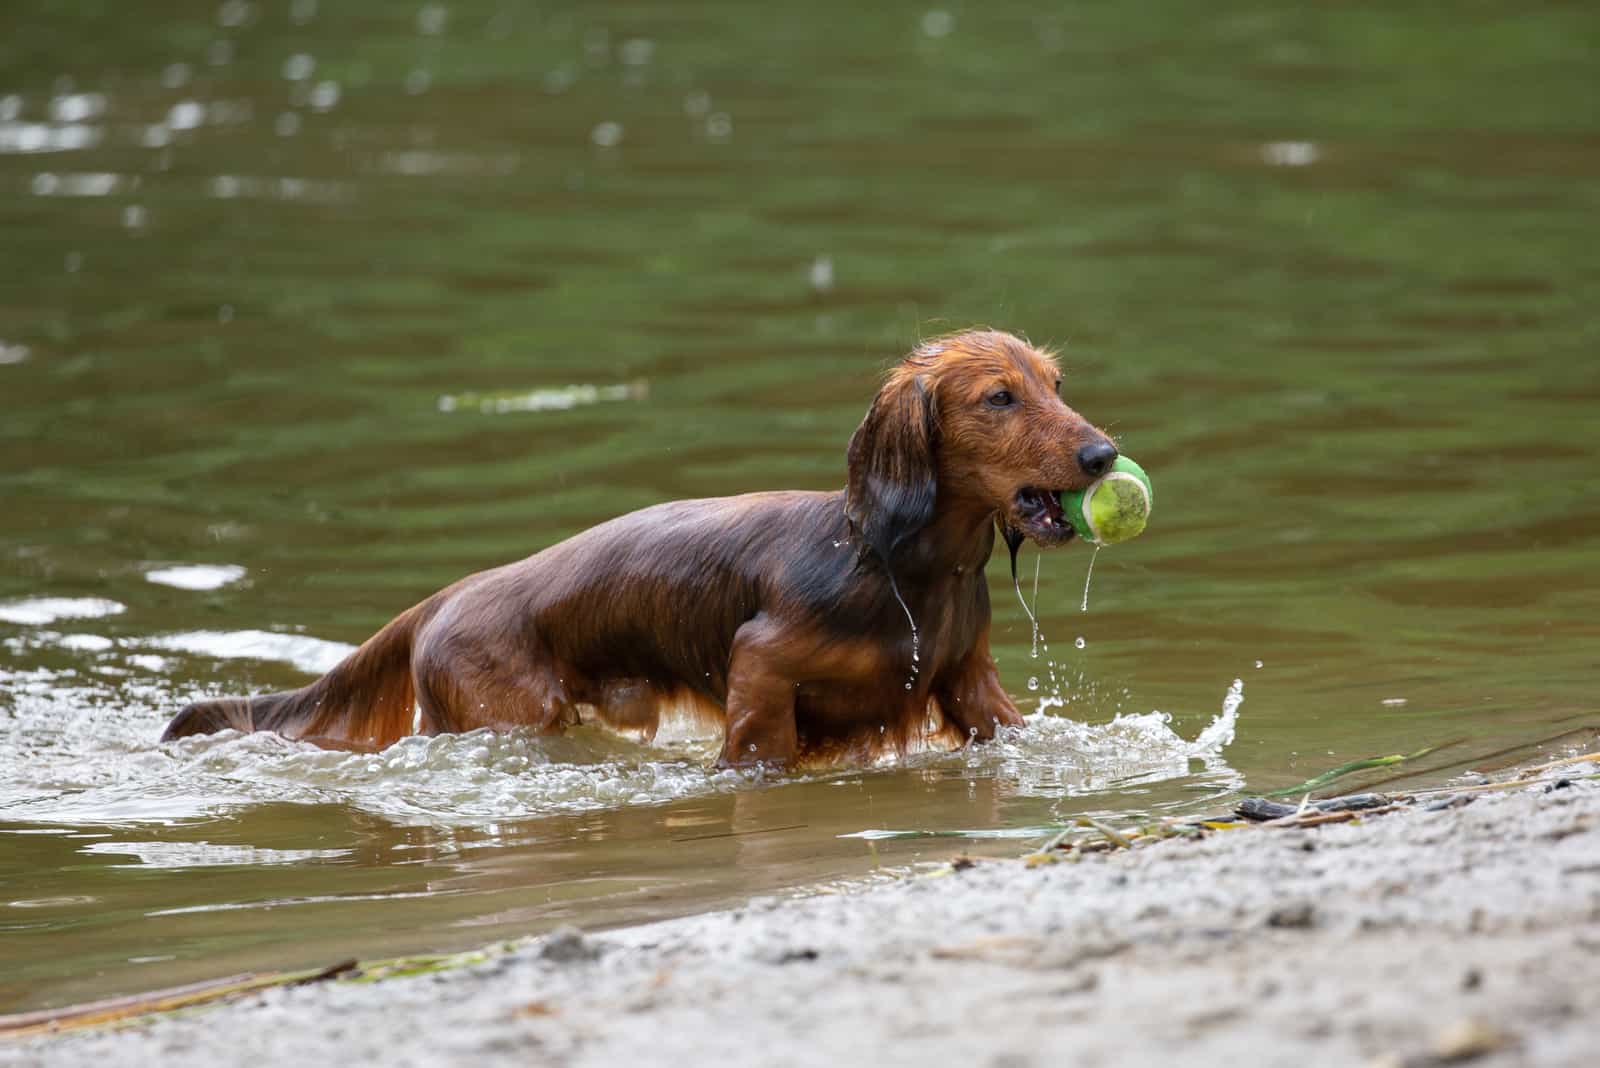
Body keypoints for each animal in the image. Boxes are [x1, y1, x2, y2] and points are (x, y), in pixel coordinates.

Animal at [159, 327, 1113, 767]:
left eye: (1056, 383)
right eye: (998, 397)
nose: (1104, 454)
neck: (901, 568)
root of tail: (449, 594)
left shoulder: (970, 683)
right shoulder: (760, 669)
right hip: (513, 713)